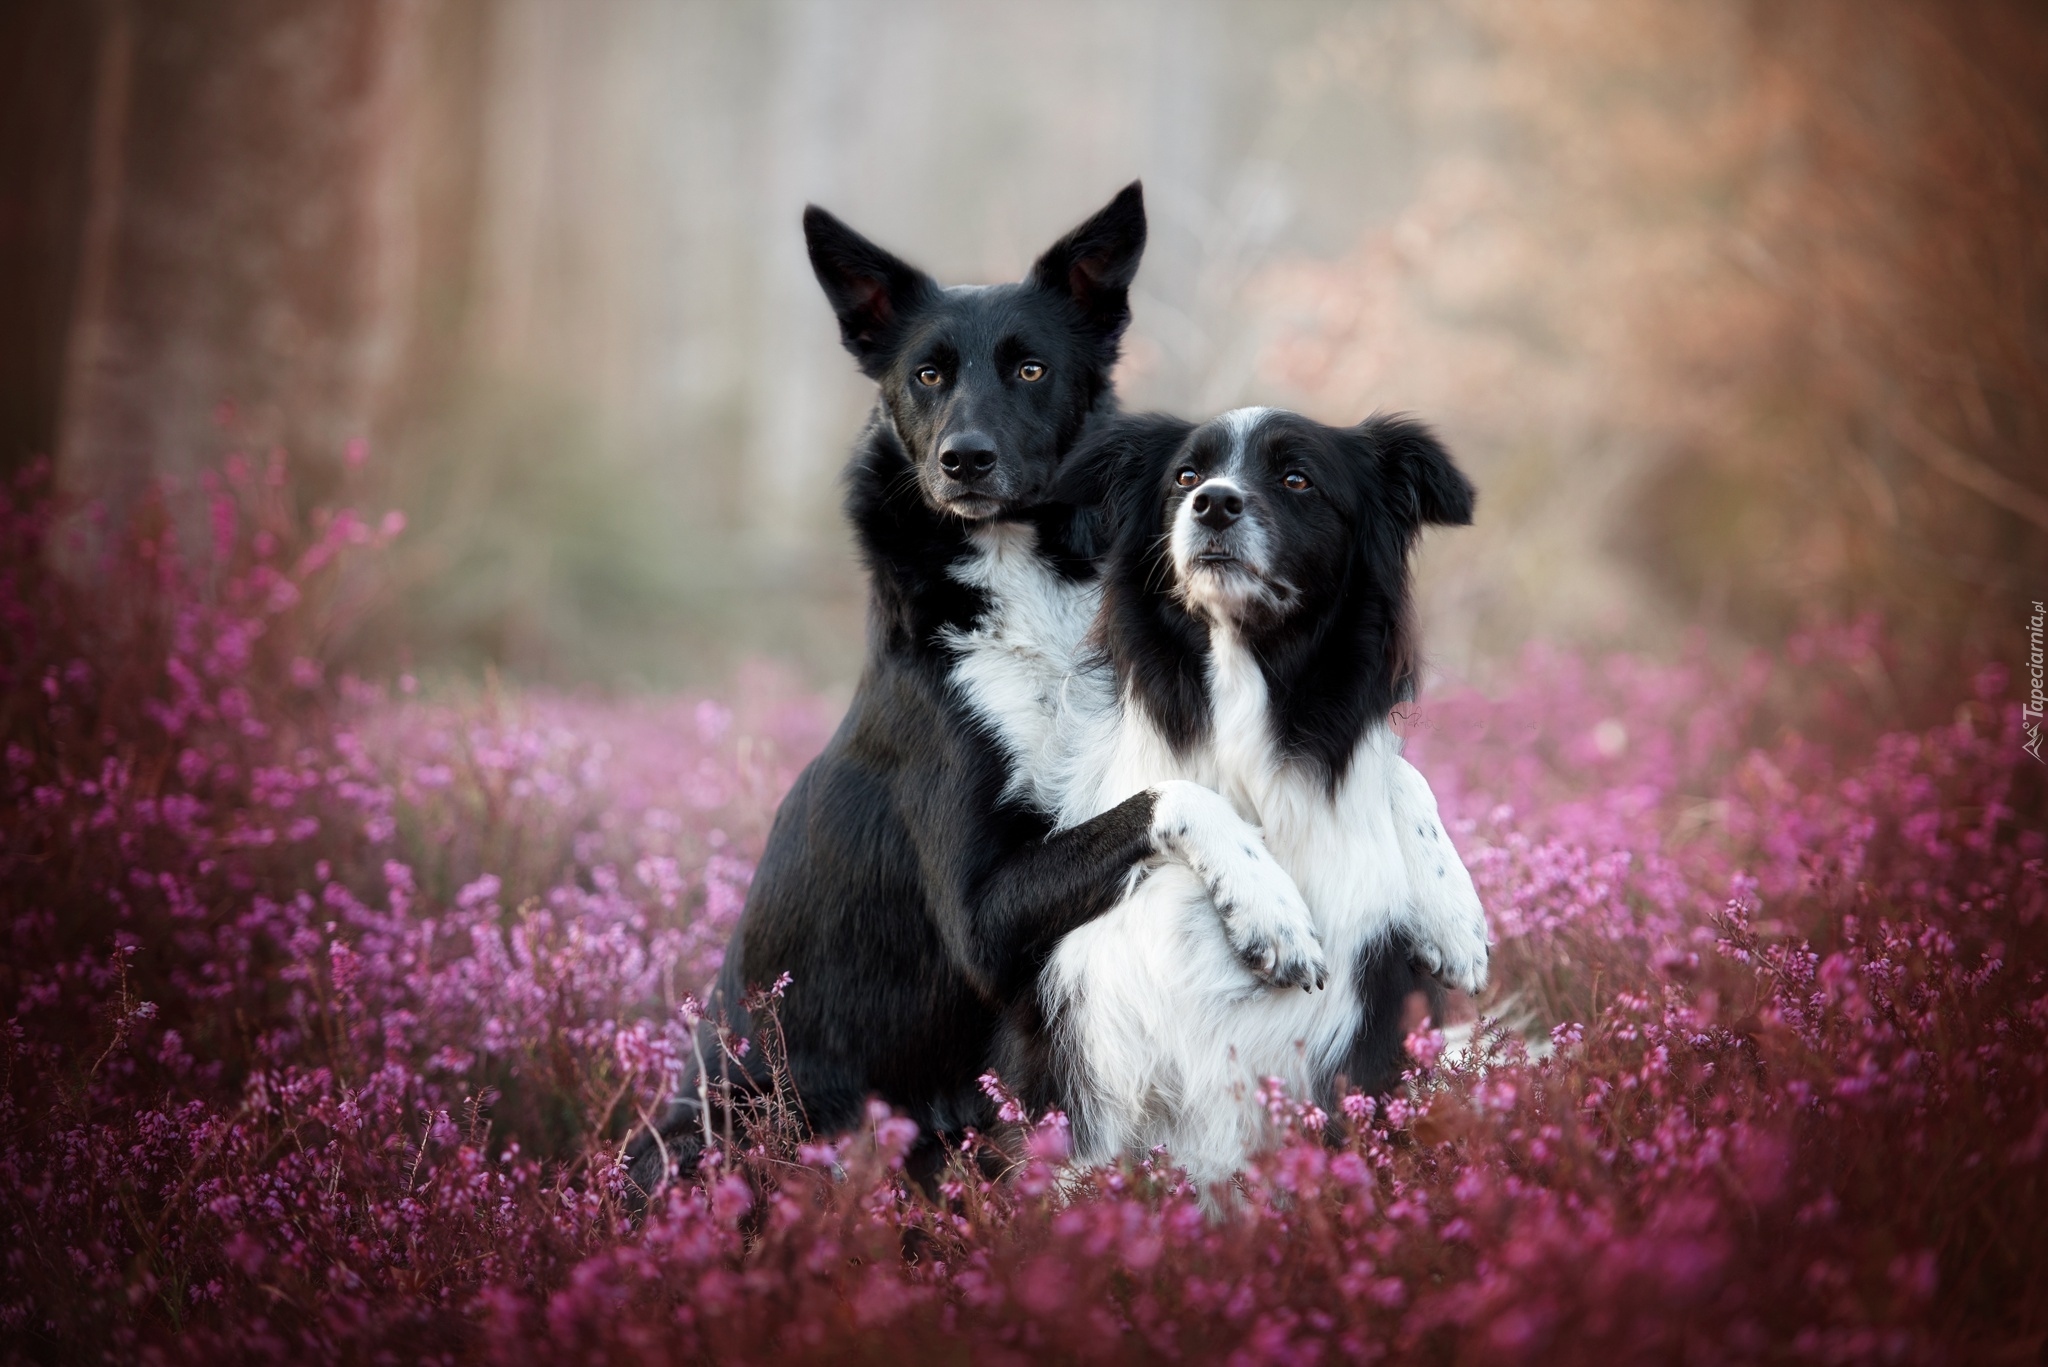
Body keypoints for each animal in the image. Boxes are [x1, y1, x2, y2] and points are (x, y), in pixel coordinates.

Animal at [622, 189, 1318, 1196]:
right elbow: (1175, 797)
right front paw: (1271, 908)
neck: (1018, 583)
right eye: (926, 374)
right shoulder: (982, 917)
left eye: (1031, 367)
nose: (964, 459)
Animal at [991, 409, 1490, 1196]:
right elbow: (1176, 794)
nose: (1215, 504)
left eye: (1297, 478)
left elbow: (1395, 772)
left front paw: (1455, 915)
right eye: (1185, 476)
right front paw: (1271, 912)